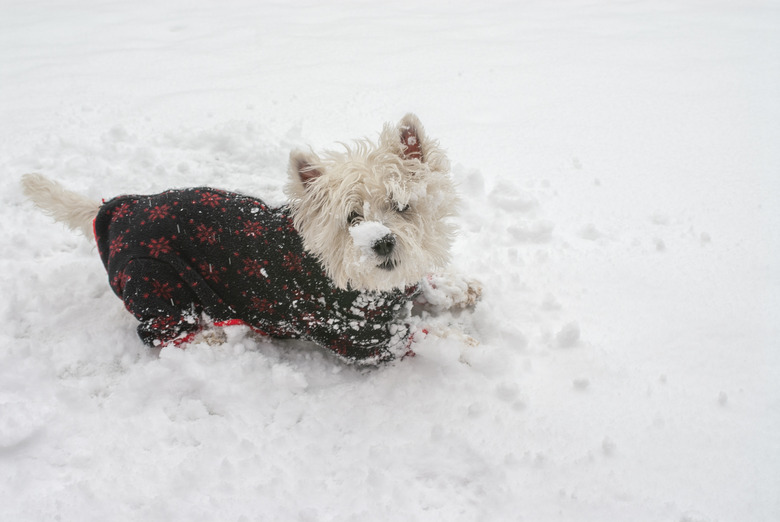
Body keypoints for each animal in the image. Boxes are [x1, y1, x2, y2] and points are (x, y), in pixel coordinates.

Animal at [19, 115, 482, 362]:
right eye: (351, 219)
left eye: (401, 206)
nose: (382, 243)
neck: (366, 286)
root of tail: (115, 213)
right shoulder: (359, 337)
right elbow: (422, 336)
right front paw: (465, 343)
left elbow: (424, 285)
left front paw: (459, 288)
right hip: (153, 278)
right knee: (161, 334)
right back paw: (214, 335)